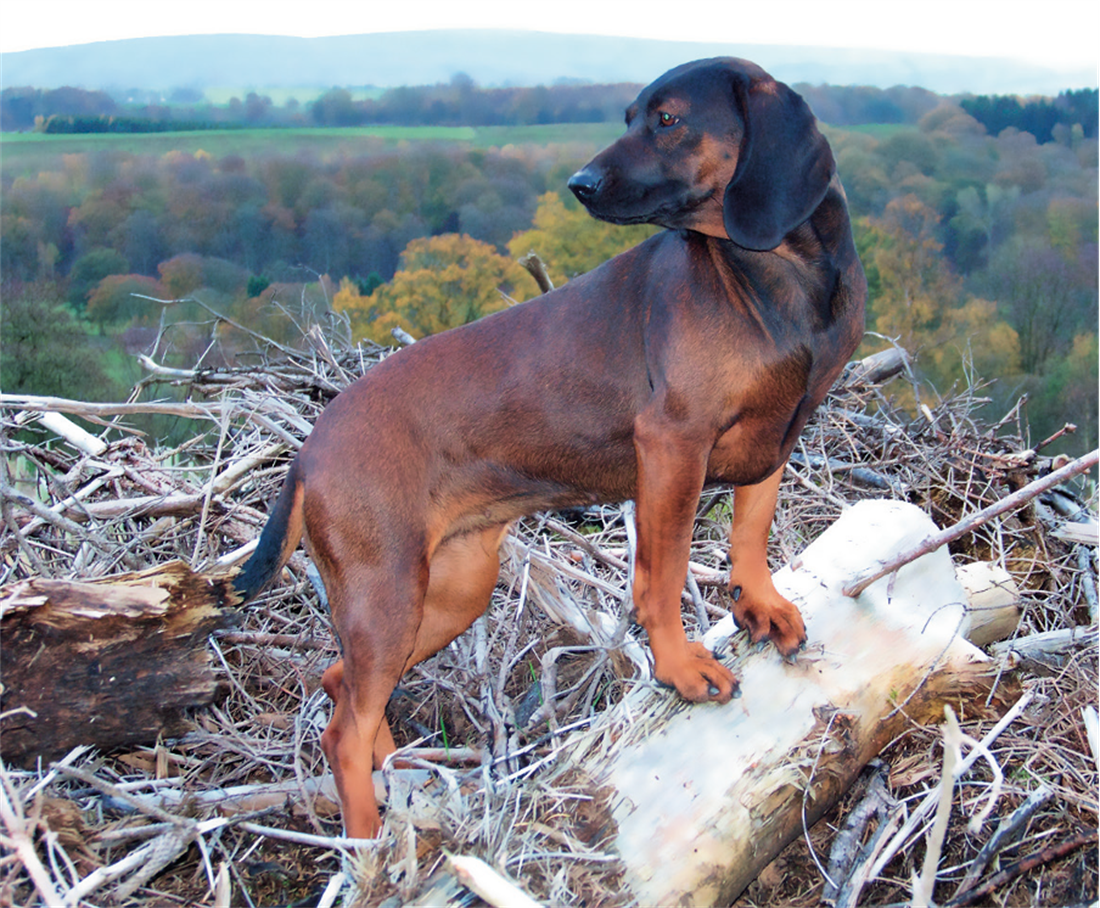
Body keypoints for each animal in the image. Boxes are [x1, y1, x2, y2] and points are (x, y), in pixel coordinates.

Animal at [234, 56, 866, 836]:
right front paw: (679, 666)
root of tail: (308, 450)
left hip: (450, 591)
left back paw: (399, 787)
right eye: (632, 115)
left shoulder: (777, 439)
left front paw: (762, 606)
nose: (579, 183)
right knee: (342, 732)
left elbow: (750, 538)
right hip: (385, 595)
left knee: (340, 687)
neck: (775, 277)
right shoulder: (673, 445)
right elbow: (660, 578)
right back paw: (370, 844)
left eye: (667, 119)